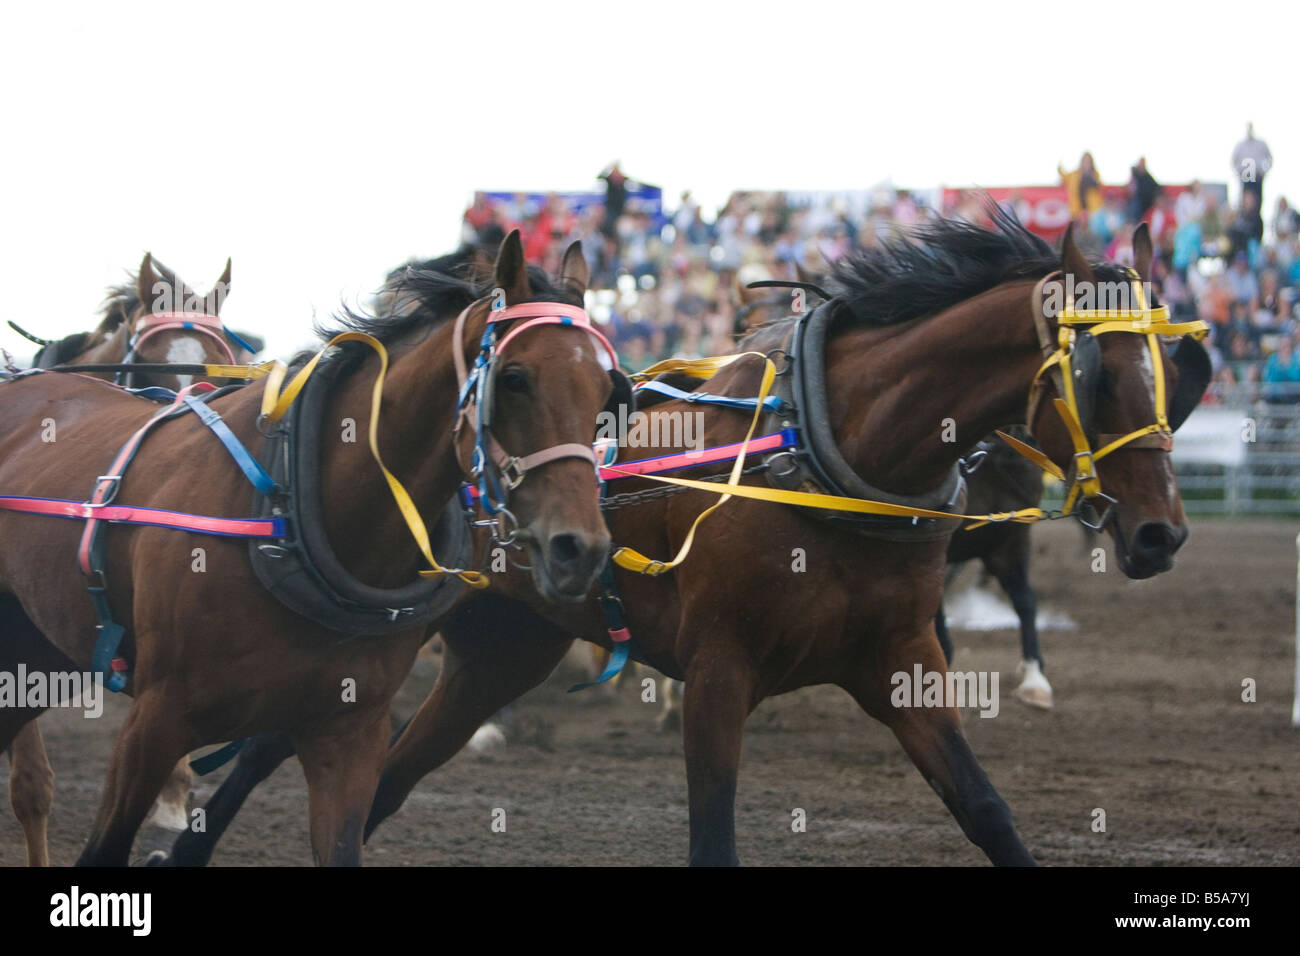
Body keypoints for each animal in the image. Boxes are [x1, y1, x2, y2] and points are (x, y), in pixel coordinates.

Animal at [0, 231, 619, 865]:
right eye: (515, 377)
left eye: (608, 390)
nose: (580, 547)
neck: (297, 517)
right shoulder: (155, 720)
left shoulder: (348, 733)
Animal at [153, 212, 1211, 868]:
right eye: (1094, 373)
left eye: (1170, 365)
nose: (1161, 532)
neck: (828, 453)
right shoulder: (718, 669)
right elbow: (713, 837)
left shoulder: (900, 659)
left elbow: (988, 812)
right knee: (268, 748)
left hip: (499, 654)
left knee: (383, 785)